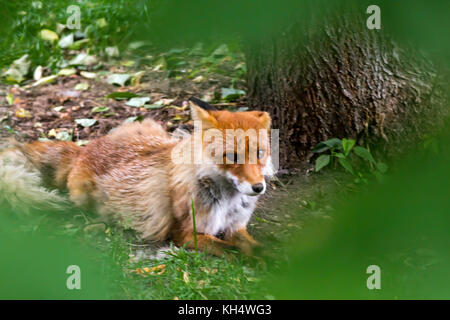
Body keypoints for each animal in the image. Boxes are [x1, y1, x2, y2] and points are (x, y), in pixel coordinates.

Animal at [0, 97, 274, 255]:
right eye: (233, 157)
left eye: (259, 153)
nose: (258, 188)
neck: (227, 202)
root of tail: (85, 149)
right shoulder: (187, 234)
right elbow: (234, 251)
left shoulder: (236, 227)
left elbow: (255, 247)